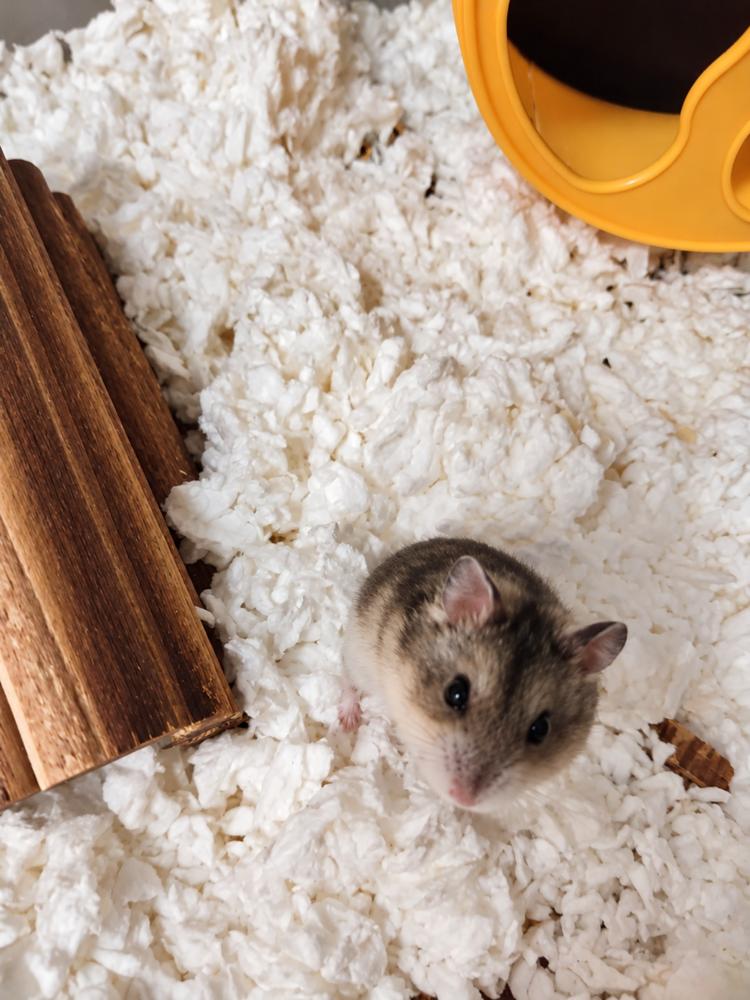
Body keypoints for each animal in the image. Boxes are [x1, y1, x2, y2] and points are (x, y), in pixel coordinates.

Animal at [340, 537, 627, 812]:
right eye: (455, 693)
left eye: (541, 729)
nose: (464, 798)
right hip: (358, 653)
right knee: (348, 680)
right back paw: (347, 720)